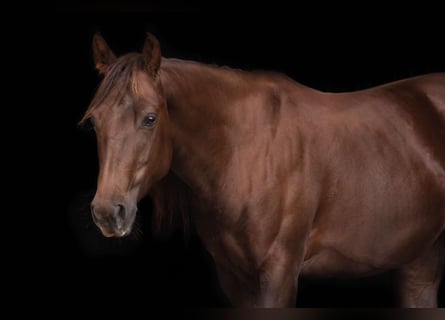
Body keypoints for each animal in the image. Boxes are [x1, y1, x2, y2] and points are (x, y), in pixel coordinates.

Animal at [80, 31, 444, 308]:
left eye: (150, 118)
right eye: (95, 122)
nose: (108, 212)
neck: (245, 151)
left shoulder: (278, 273)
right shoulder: (235, 279)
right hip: (420, 263)